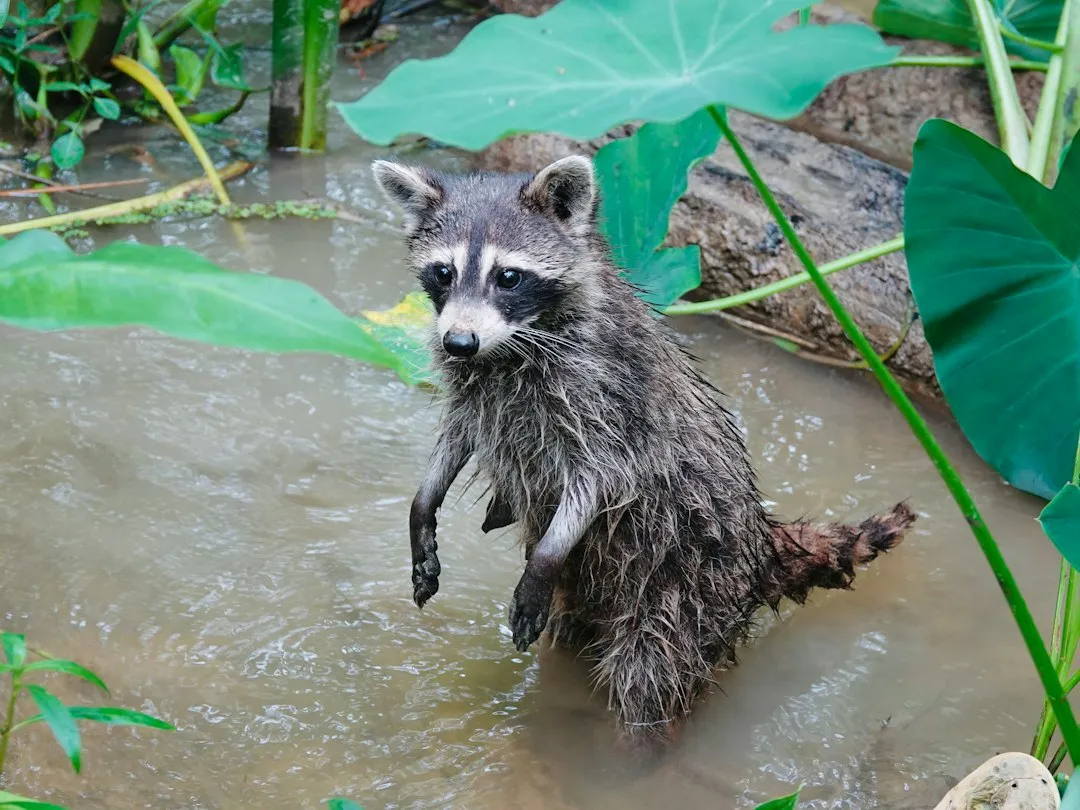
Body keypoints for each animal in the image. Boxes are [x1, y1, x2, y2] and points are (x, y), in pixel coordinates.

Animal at [372, 154, 916, 756]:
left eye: (507, 276)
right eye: (443, 272)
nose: (459, 342)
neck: (513, 343)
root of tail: (759, 542)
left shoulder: (606, 398)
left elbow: (596, 479)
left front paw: (546, 554)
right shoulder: (475, 389)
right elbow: (458, 436)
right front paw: (422, 506)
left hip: (683, 597)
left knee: (649, 682)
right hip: (592, 600)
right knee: (569, 642)